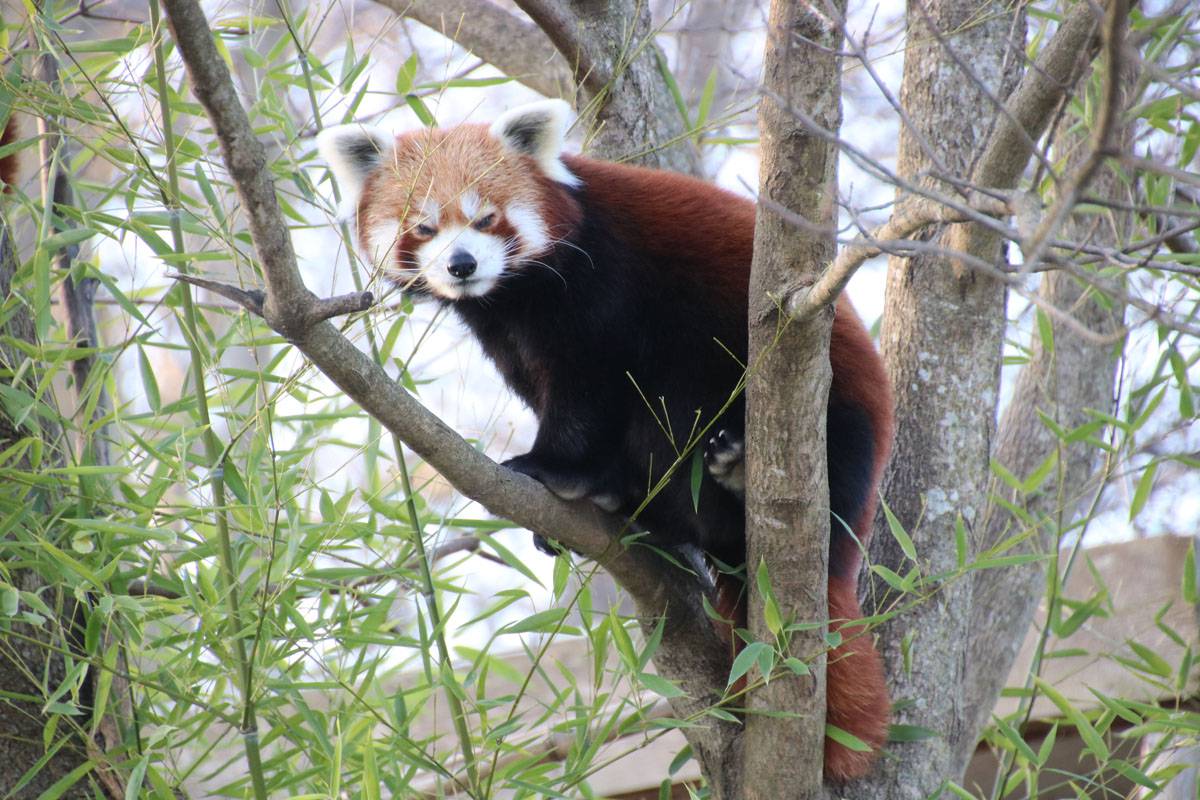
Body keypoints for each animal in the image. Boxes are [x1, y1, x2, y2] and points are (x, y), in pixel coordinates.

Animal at [316, 100, 892, 782]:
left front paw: (548, 468)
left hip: (822, 407)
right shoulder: (506, 331)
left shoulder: (600, 284)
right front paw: (588, 482)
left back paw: (730, 481)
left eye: (485, 218)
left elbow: (588, 390)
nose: (462, 265)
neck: (512, 293)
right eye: (424, 228)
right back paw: (640, 506)